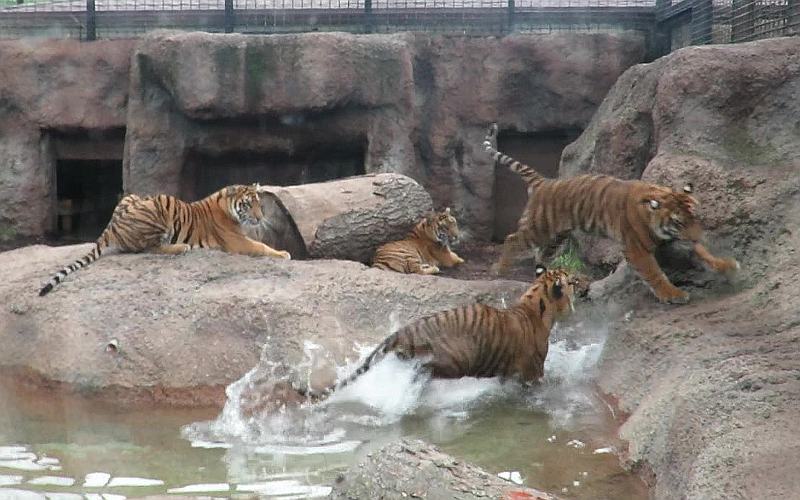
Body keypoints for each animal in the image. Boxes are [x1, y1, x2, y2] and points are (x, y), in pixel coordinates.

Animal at [39, 183, 290, 294]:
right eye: (248, 204)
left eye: (259, 203)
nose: (260, 217)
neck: (229, 208)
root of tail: (111, 225)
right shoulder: (237, 241)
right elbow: (261, 246)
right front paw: (284, 253)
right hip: (157, 209)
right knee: (149, 249)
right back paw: (181, 247)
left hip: (132, 196)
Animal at [304, 264, 576, 400]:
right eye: (571, 280)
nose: (581, 281)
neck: (534, 304)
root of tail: (403, 331)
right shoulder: (533, 371)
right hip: (451, 361)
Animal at [482, 124, 736, 304]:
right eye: (679, 222)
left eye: (695, 219)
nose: (697, 236)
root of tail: (543, 181)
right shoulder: (636, 249)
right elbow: (655, 273)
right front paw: (673, 294)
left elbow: (703, 253)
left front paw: (726, 265)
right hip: (539, 227)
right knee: (512, 239)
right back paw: (499, 270)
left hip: (557, 236)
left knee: (541, 254)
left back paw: (542, 273)